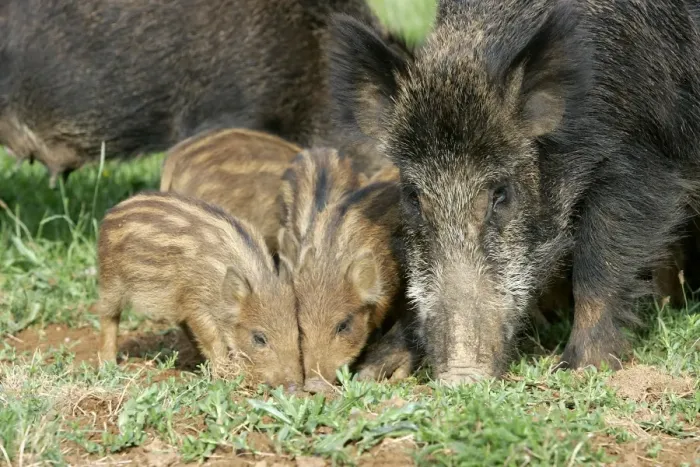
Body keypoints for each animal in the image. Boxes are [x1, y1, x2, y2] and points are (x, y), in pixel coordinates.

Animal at [97, 191, 302, 388]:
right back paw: (108, 365)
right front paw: (225, 375)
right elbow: (212, 338)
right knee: (108, 316)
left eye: (297, 333)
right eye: (259, 338)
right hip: (111, 281)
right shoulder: (195, 302)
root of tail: (112, 212)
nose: (293, 386)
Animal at [328, 0, 700, 382]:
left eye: (501, 194)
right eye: (414, 197)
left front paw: (581, 369)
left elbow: (599, 265)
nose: (460, 378)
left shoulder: (645, 159)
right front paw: (372, 373)